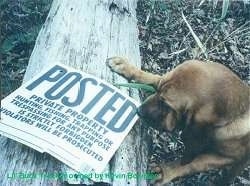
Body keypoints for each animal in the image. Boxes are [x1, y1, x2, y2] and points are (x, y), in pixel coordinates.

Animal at [106, 57, 250, 186]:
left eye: (167, 106)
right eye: (158, 93)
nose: (138, 111)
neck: (234, 116)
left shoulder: (227, 158)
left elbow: (193, 162)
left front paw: (165, 171)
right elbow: (154, 78)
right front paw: (126, 67)